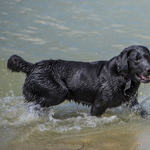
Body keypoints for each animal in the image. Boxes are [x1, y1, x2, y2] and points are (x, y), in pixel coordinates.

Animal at [7, 45, 150, 116]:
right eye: (136, 59)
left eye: (148, 57)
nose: (149, 69)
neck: (121, 76)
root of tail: (34, 66)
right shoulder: (99, 105)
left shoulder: (132, 102)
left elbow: (142, 110)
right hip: (57, 92)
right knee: (34, 105)